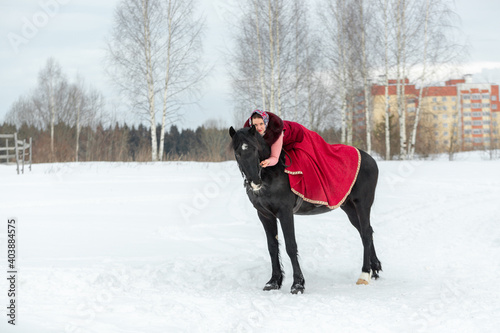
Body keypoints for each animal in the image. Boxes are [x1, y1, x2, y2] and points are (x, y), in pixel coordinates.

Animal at [229, 124, 380, 294]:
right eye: (237, 153)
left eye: (255, 149)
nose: (254, 182)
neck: (272, 173)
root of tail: (370, 159)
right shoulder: (265, 215)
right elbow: (272, 247)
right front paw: (273, 282)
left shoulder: (285, 213)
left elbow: (290, 246)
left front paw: (297, 284)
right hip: (349, 208)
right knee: (366, 232)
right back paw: (374, 269)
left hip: (362, 204)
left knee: (366, 234)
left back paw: (365, 273)